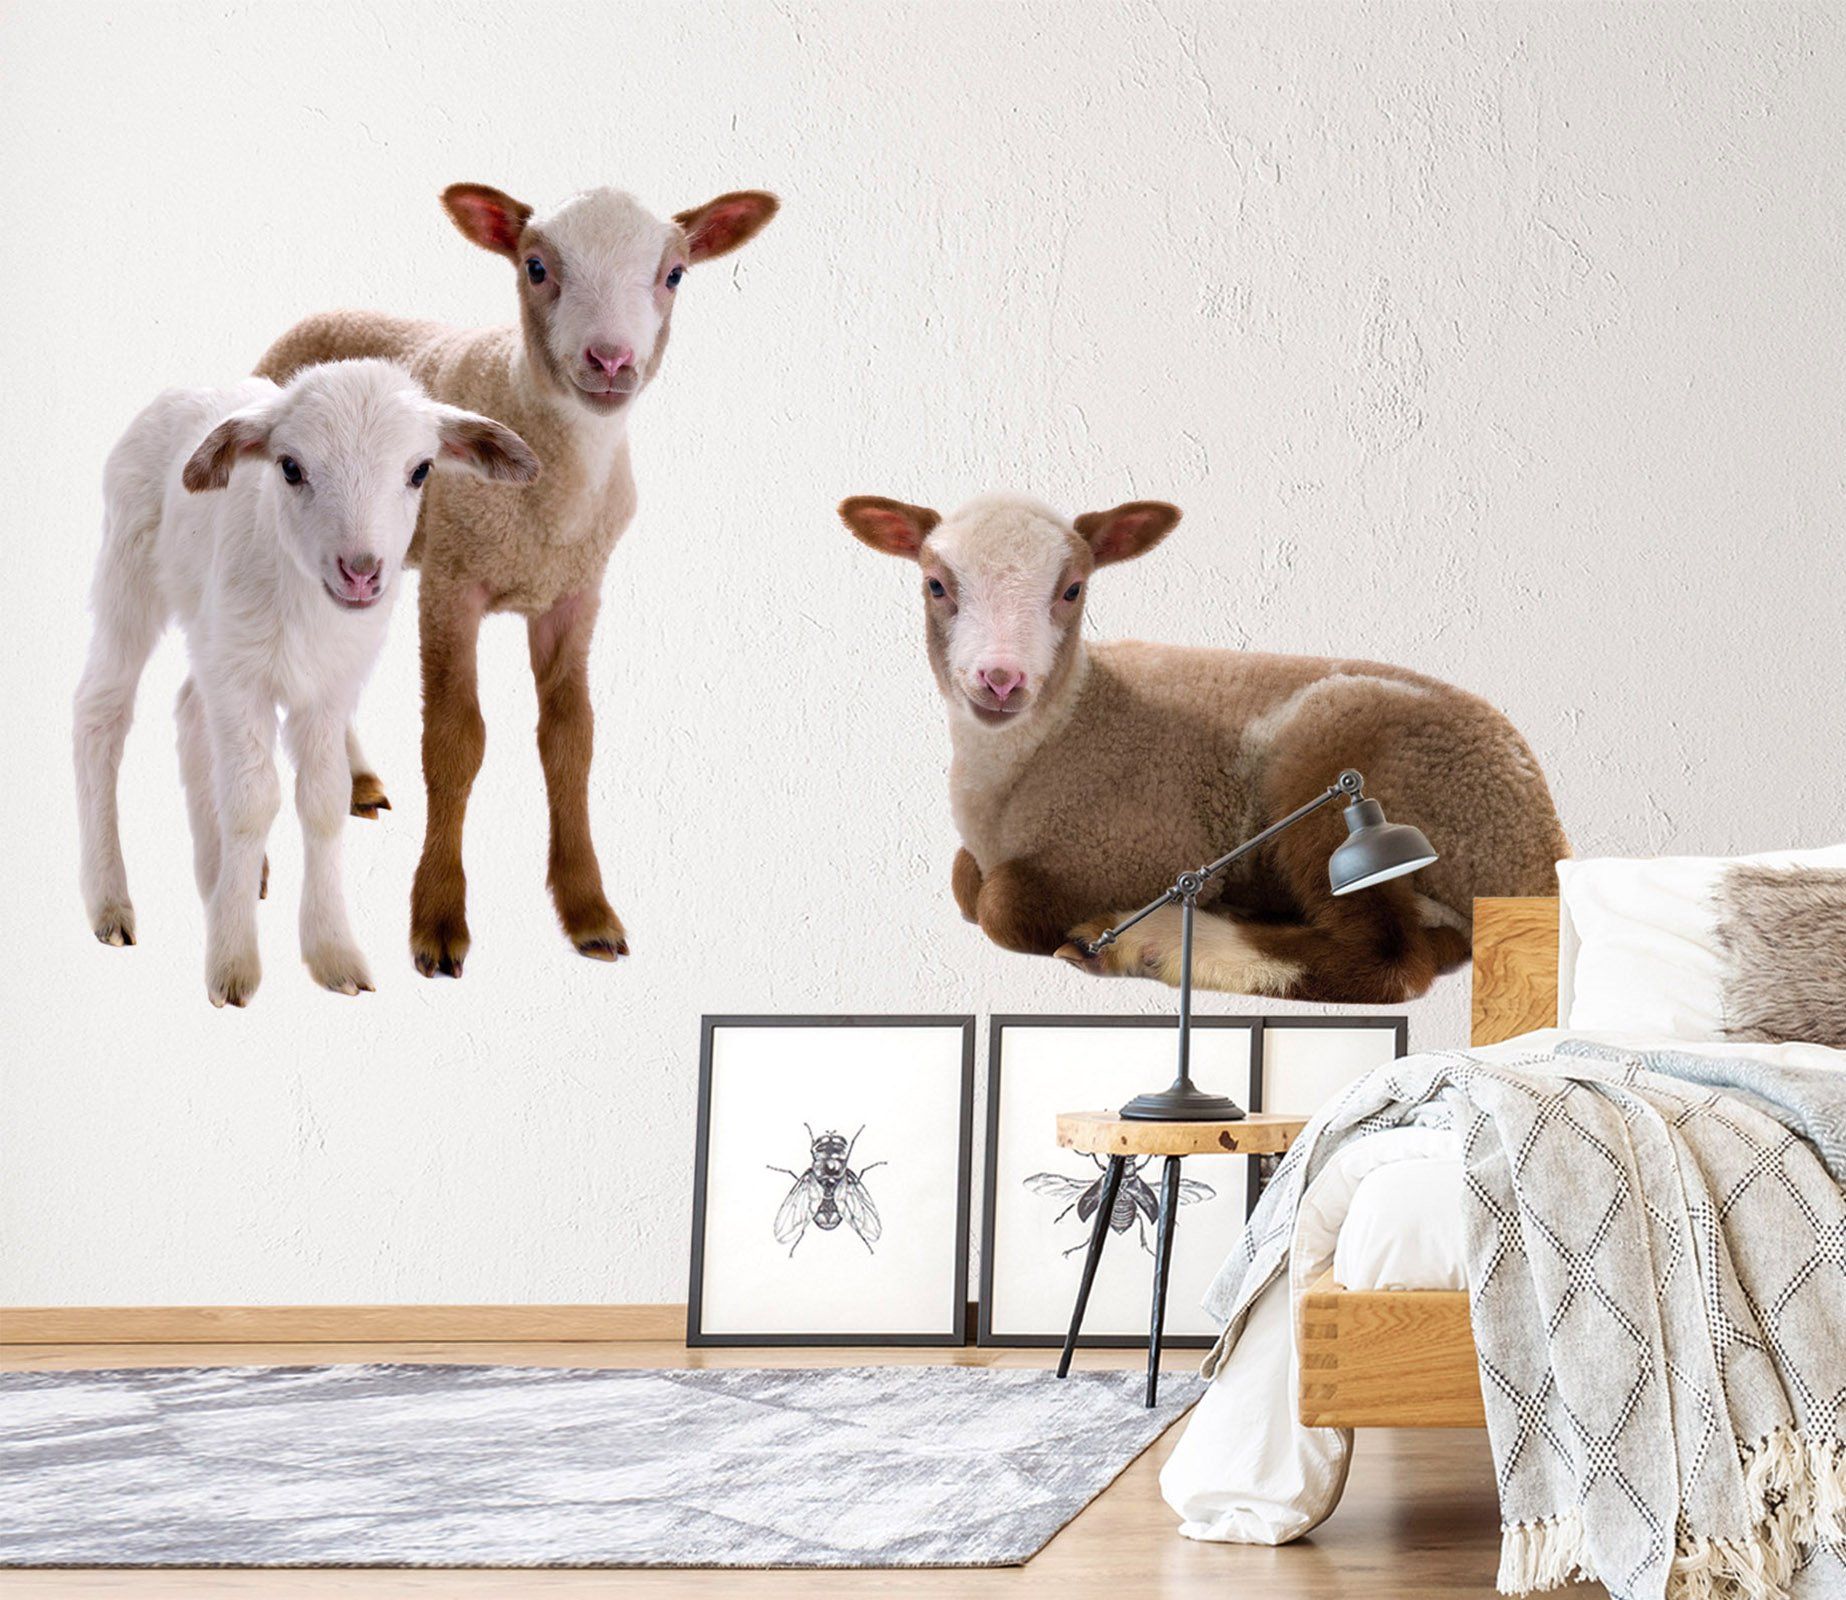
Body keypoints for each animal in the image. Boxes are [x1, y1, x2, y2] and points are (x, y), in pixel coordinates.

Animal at [74, 359, 539, 1007]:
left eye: (420, 470)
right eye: (290, 467)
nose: (362, 572)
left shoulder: (328, 687)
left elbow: (322, 801)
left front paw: (332, 952)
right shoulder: (241, 678)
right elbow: (252, 802)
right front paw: (233, 961)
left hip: (211, 631)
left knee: (190, 709)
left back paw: (219, 873)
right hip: (129, 567)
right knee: (101, 711)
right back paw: (111, 903)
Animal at [254, 182, 779, 978]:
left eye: (675, 274)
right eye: (536, 267)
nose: (610, 360)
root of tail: (322, 312)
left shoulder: (574, 594)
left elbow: (571, 739)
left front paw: (588, 908)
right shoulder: (452, 582)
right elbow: (455, 740)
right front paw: (438, 917)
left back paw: (356, 780)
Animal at [837, 492, 1569, 1004]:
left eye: (1073, 589)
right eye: (936, 584)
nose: (1000, 679)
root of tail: (1544, 849)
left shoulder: (1145, 842)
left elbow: (1000, 904)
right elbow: (966, 882)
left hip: (1344, 763)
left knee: (1391, 959)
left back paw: (1151, 942)